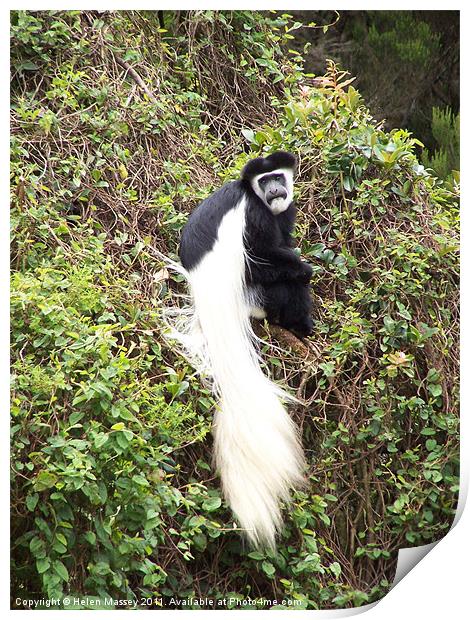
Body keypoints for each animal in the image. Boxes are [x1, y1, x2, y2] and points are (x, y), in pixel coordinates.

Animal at [176, 150, 312, 548]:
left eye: (278, 177)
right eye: (265, 181)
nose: (276, 189)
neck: (252, 195)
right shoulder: (256, 216)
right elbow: (266, 255)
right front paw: (304, 266)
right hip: (254, 294)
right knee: (279, 280)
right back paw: (301, 324)